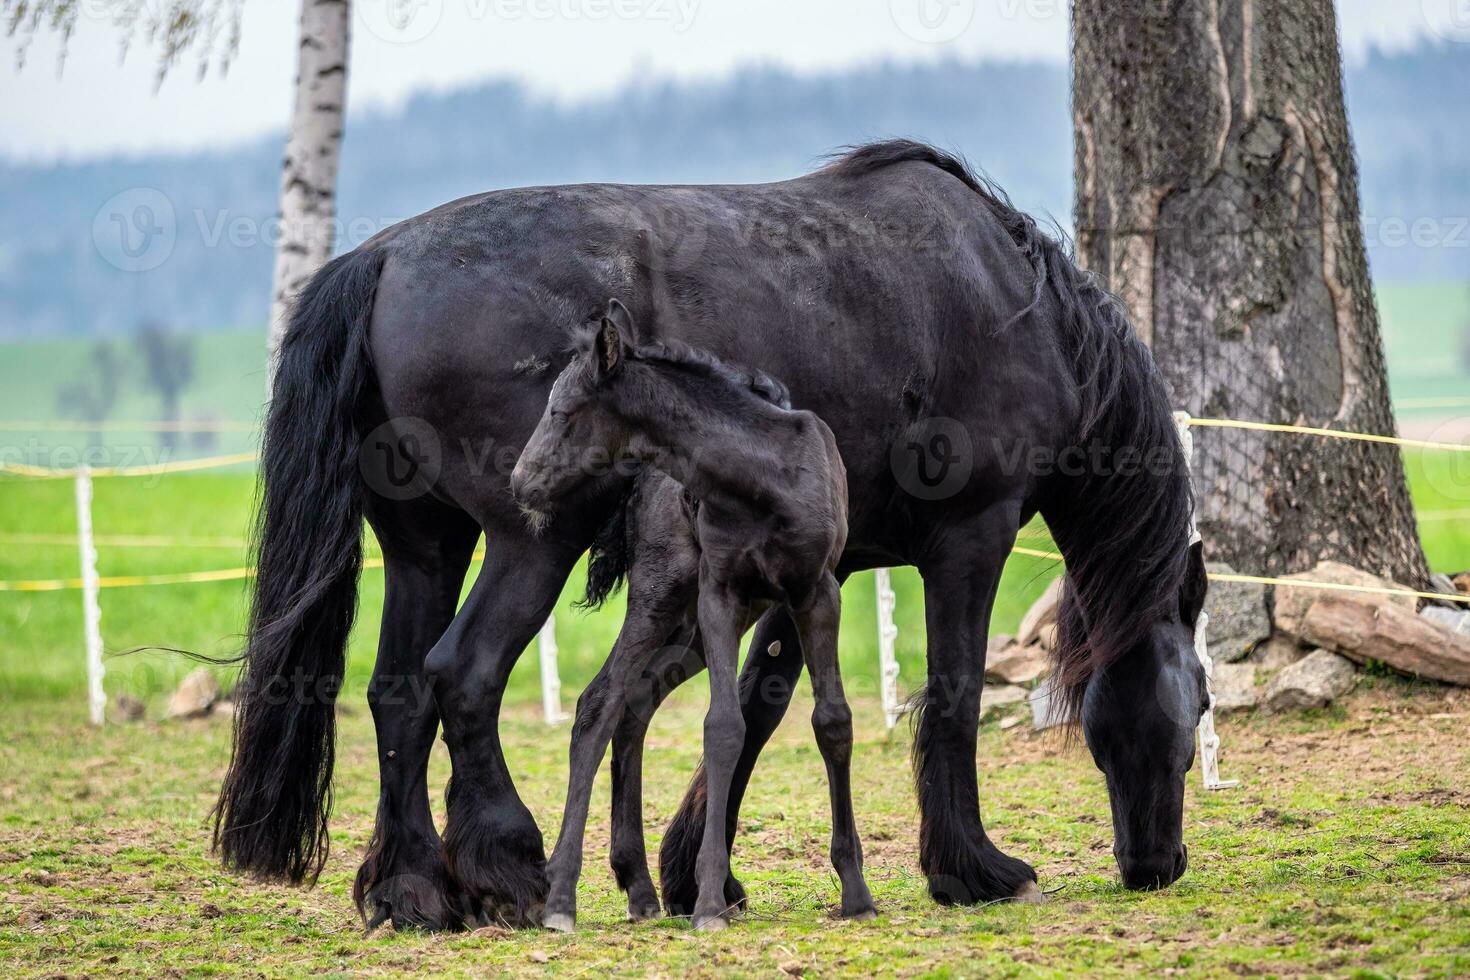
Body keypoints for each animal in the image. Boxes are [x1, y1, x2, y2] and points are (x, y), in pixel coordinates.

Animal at [511, 302, 870, 934]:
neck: (765, 478)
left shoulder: (818, 589)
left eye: (561, 411)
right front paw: (708, 902)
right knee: (599, 702)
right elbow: (724, 727)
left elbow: (833, 721)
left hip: (693, 630)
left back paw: (639, 887)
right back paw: (560, 897)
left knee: (635, 704)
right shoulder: (719, 591)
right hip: (664, 595)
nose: (519, 482)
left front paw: (856, 892)